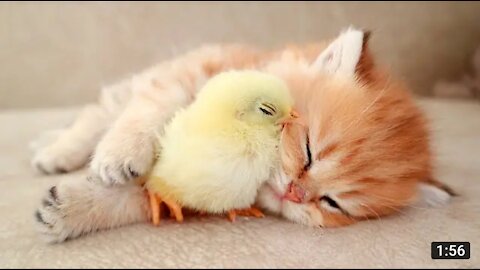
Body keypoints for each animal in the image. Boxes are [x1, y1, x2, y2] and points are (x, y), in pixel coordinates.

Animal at [33, 26, 454, 243]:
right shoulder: (192, 76)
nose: (294, 194)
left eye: (332, 203)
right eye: (308, 151)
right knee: (98, 112)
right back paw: (55, 150)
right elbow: (151, 107)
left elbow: (140, 200)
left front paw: (71, 210)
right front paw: (121, 153)